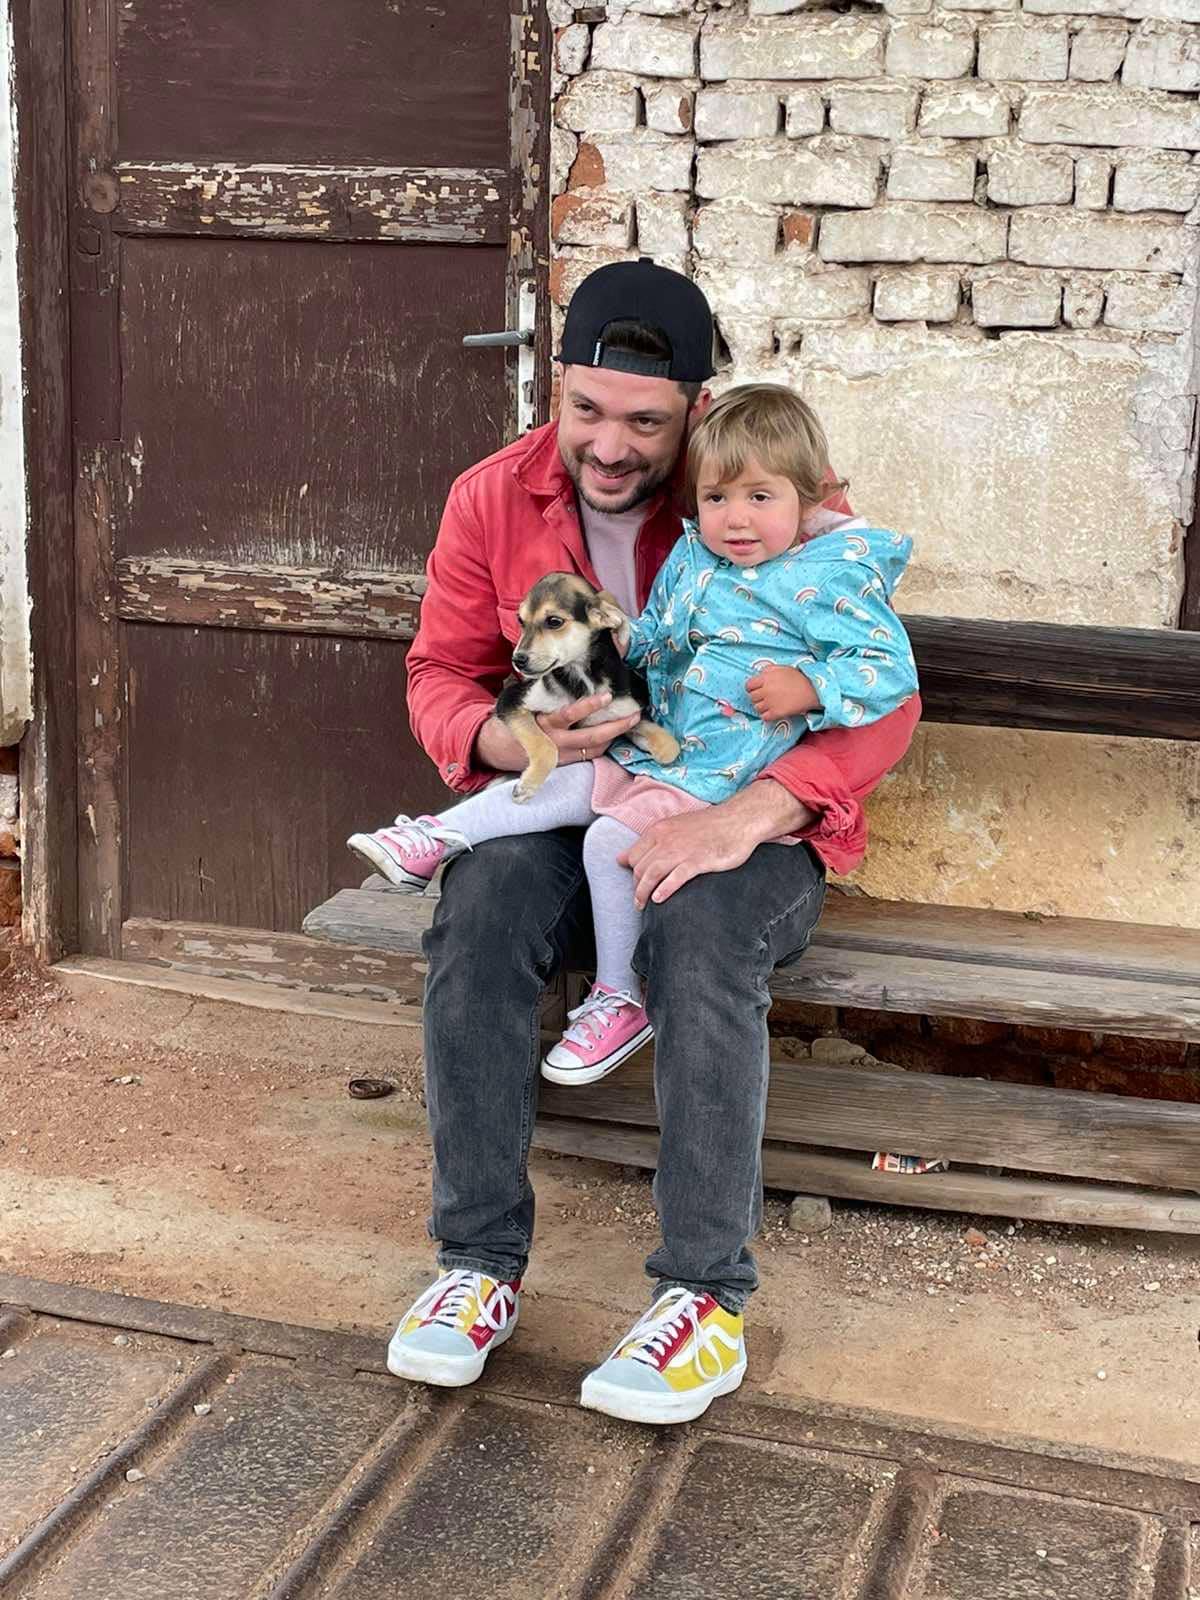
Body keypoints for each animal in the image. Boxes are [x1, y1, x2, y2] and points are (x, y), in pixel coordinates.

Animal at [495, 572, 680, 802]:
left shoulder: (628, 715)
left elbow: (670, 747)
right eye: (521, 621)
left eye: (554, 621)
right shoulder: (511, 699)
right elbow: (547, 746)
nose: (518, 660)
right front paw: (527, 785)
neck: (582, 681)